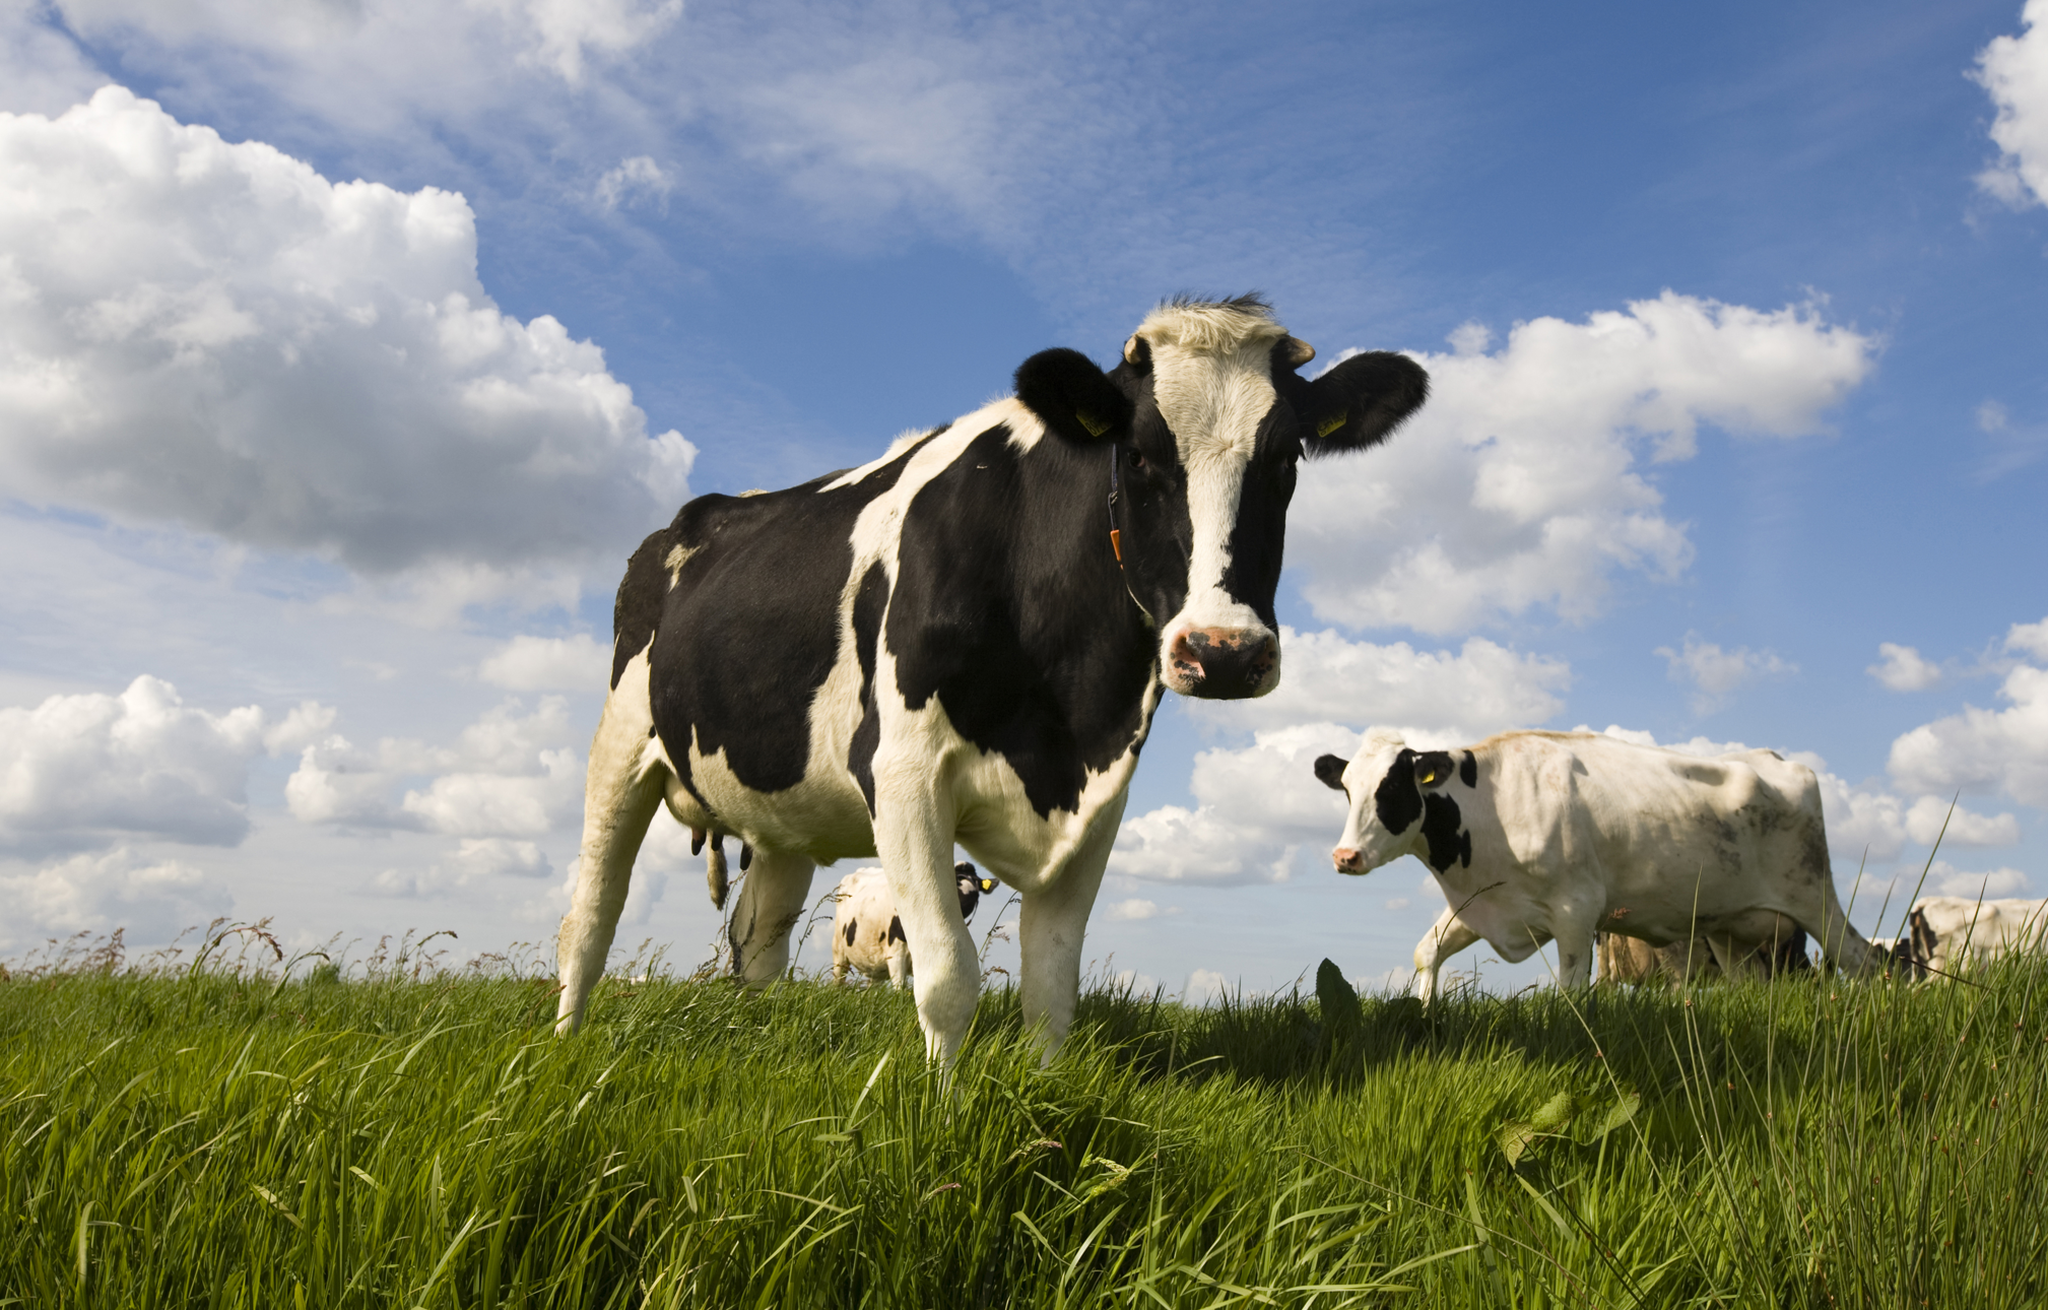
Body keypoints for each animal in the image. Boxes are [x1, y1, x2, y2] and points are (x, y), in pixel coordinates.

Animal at [1314, 728, 1884, 1006]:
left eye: (1393, 788)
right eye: (1347, 790)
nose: (1345, 857)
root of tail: (1777, 759)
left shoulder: (1576, 910)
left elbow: (1569, 992)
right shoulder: (1483, 903)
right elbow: (1426, 951)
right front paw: (1426, 1011)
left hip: (1815, 896)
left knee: (1863, 960)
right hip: (1729, 928)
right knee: (1754, 984)